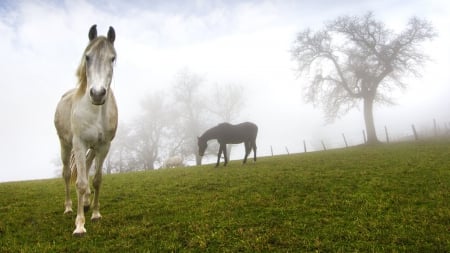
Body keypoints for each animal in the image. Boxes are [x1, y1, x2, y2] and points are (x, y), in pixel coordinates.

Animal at [53, 25, 118, 235]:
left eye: (112, 58)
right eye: (87, 57)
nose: (97, 94)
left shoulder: (104, 146)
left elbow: (97, 179)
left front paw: (96, 214)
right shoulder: (79, 144)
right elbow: (80, 183)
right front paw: (80, 225)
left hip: (93, 148)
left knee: (87, 166)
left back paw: (88, 203)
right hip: (66, 146)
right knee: (67, 174)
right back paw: (68, 208)